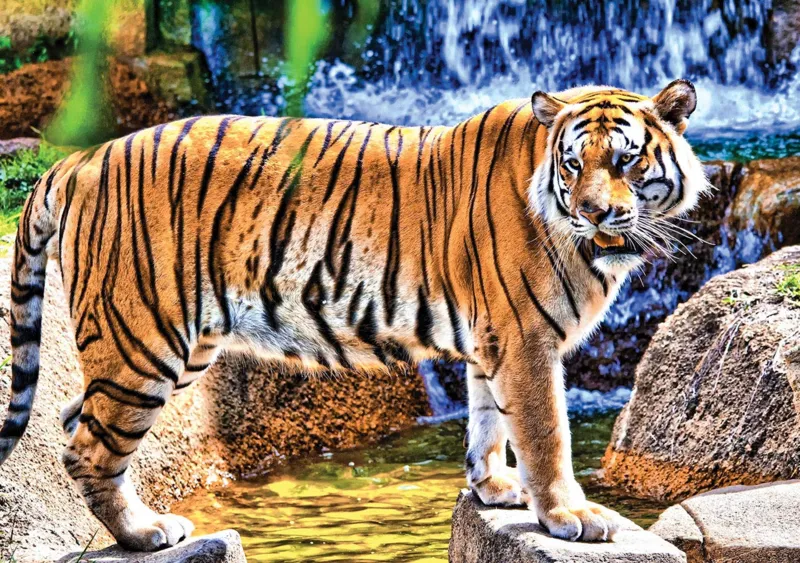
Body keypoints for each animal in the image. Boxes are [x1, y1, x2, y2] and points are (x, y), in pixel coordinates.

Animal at [0, 79, 706, 550]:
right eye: (573, 163)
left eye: (626, 160)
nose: (593, 212)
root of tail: (81, 158)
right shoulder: (525, 339)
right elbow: (546, 433)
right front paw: (570, 516)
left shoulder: (494, 337)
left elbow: (487, 419)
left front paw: (493, 489)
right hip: (144, 341)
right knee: (89, 449)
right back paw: (146, 531)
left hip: (160, 347)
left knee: (74, 418)